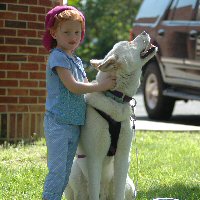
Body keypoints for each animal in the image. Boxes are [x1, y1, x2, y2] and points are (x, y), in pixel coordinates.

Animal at [65, 31, 157, 200]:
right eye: (129, 43)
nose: (144, 32)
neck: (115, 97)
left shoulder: (123, 156)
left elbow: (119, 192)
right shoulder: (94, 158)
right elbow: (94, 191)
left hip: (129, 185)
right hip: (73, 175)